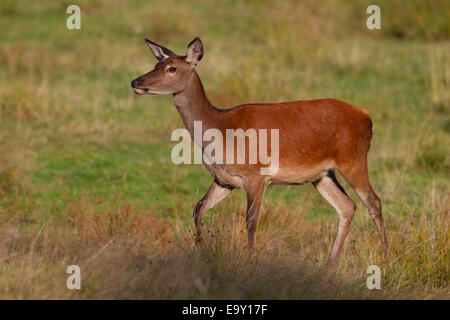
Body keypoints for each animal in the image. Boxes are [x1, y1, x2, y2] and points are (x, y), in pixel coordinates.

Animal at [130, 37, 386, 264]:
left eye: (171, 68)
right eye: (156, 64)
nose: (135, 82)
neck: (221, 129)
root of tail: (367, 117)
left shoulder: (256, 175)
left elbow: (251, 221)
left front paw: (251, 262)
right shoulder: (224, 179)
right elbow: (198, 208)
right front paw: (204, 252)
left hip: (353, 159)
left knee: (373, 201)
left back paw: (385, 258)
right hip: (322, 175)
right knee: (347, 206)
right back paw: (330, 264)